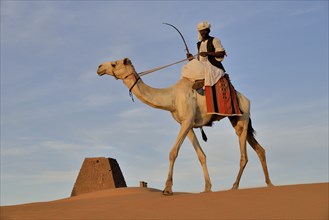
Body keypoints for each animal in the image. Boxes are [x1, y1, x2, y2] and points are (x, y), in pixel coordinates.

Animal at [96, 57, 272, 195]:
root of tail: (246, 99)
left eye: (114, 64)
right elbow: (201, 155)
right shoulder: (187, 124)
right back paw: (269, 184)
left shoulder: (187, 121)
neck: (172, 98)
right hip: (237, 120)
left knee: (244, 155)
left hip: (242, 118)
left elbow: (173, 152)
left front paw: (167, 189)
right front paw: (207, 188)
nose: (99, 67)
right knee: (260, 149)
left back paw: (234, 187)